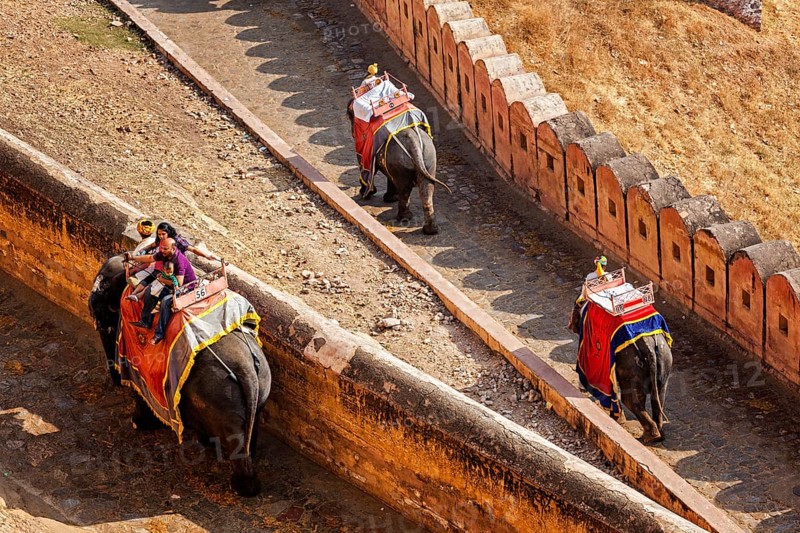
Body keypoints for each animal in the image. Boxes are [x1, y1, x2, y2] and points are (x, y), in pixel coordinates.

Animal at [88, 254, 271, 496]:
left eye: (102, 312)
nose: (115, 381)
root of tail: (246, 369)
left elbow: (141, 390)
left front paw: (138, 423)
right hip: (261, 385)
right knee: (251, 423)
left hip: (220, 400)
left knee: (235, 440)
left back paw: (242, 487)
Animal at [347, 99, 450, 235]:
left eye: (349, 115)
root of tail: (414, 142)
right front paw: (389, 198)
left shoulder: (364, 146)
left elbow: (365, 166)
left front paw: (366, 194)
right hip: (428, 158)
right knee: (426, 188)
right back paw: (430, 230)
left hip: (402, 162)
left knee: (405, 188)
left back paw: (403, 218)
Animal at [568, 302, 673, 444]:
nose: (569, 326)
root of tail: (649, 348)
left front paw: (617, 418)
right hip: (664, 359)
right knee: (658, 397)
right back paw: (657, 436)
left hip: (631, 366)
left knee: (630, 399)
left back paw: (650, 437)